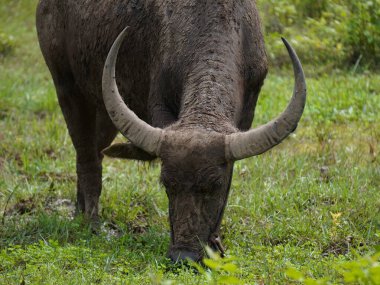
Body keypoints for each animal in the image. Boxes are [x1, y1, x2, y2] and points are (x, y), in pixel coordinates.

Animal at [36, 0, 306, 260]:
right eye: (166, 184)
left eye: (215, 184)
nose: (183, 256)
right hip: (67, 86)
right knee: (86, 156)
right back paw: (90, 222)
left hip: (103, 108)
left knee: (97, 150)